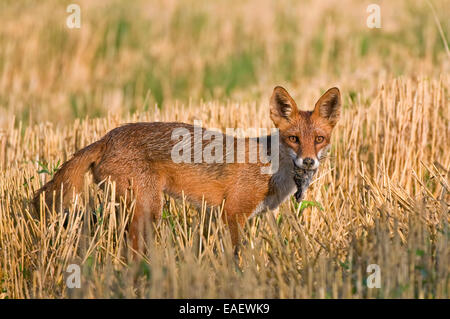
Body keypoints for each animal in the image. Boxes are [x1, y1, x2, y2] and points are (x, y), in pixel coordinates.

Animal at [32, 87, 342, 250]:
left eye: (319, 139)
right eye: (294, 139)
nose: (308, 161)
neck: (271, 168)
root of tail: (106, 137)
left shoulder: (251, 214)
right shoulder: (233, 213)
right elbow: (238, 256)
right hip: (148, 208)